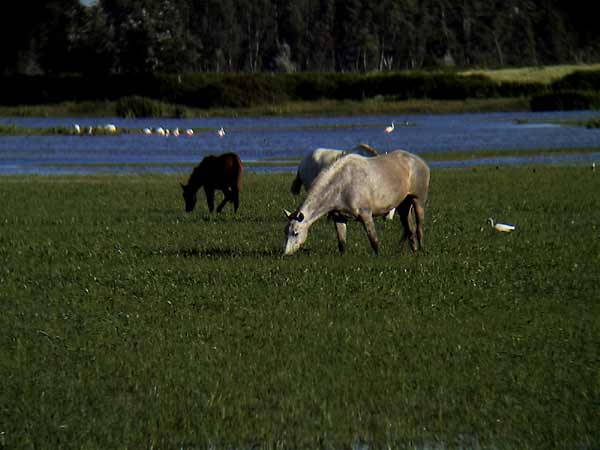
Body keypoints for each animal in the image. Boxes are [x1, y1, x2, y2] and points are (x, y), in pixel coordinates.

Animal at [284, 150, 428, 256]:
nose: (285, 253)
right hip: (403, 205)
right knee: (409, 229)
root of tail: (419, 161)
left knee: (419, 227)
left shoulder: (366, 214)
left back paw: (421, 249)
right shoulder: (339, 217)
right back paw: (412, 250)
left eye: (295, 233)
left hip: (417, 202)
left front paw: (378, 256)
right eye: (285, 232)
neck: (341, 185)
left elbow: (373, 239)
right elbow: (342, 242)